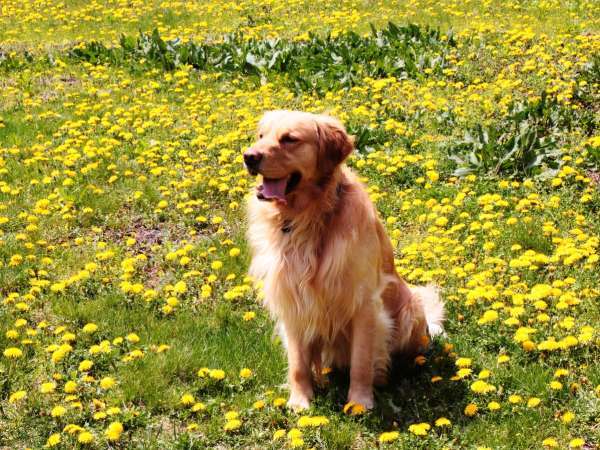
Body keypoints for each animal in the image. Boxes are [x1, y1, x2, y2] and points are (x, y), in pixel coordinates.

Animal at [241, 110, 442, 410]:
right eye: (261, 135)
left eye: (289, 139)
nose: (249, 156)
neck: (309, 218)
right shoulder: (292, 299)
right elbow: (297, 363)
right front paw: (300, 401)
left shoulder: (364, 302)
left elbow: (361, 360)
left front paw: (359, 402)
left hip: (410, 309)